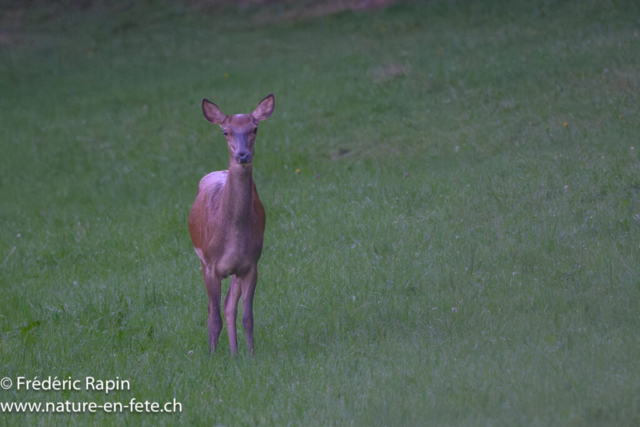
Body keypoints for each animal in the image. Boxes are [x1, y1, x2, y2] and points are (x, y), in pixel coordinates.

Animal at [189, 94, 275, 356]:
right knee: (212, 309)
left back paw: (235, 354)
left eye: (254, 128)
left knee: (228, 306)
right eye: (225, 131)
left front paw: (250, 355)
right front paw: (212, 356)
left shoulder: (251, 264)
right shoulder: (210, 265)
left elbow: (246, 316)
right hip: (201, 260)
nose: (243, 155)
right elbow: (213, 316)